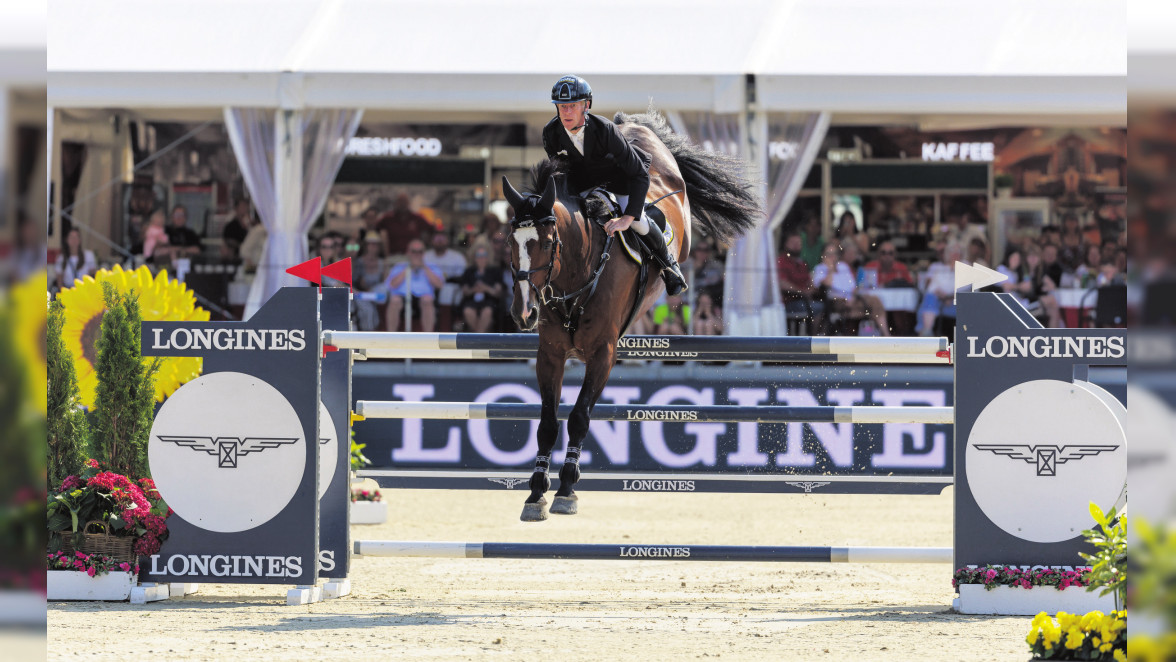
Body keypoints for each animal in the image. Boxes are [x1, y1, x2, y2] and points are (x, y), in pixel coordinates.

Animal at [498, 109, 757, 524]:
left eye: (549, 243)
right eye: (510, 242)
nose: (524, 313)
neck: (578, 271)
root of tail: (631, 125)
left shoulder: (603, 353)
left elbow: (579, 417)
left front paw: (567, 489)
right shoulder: (550, 354)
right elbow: (548, 423)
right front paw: (535, 493)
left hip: (656, 193)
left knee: (643, 213)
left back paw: (673, 273)